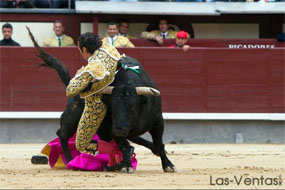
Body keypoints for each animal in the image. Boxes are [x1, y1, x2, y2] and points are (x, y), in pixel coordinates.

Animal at [28, 27, 175, 174]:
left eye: (133, 107)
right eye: (113, 108)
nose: (119, 130)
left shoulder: (158, 121)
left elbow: (159, 144)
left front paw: (168, 165)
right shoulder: (112, 125)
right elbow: (124, 145)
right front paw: (127, 165)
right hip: (73, 118)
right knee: (64, 135)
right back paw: (71, 161)